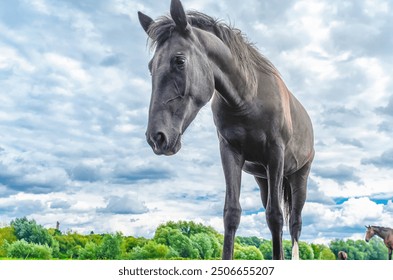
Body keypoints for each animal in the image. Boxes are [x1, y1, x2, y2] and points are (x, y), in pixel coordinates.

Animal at [137, 0, 312, 260]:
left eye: (179, 61)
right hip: (264, 178)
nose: (156, 138)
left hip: (298, 176)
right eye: (151, 67)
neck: (249, 96)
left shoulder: (276, 154)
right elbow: (232, 213)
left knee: (294, 224)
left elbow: (276, 216)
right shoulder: (230, 152)